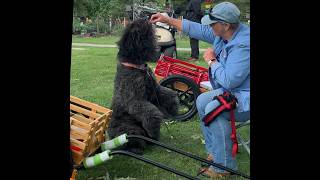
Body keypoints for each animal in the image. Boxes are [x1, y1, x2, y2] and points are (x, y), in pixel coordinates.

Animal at [106, 19, 179, 155]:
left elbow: (170, 94)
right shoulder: (135, 101)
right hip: (129, 131)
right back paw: (137, 147)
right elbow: (152, 113)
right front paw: (153, 128)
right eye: (139, 30)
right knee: (132, 140)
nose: (144, 19)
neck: (137, 67)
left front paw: (174, 108)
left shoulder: (155, 90)